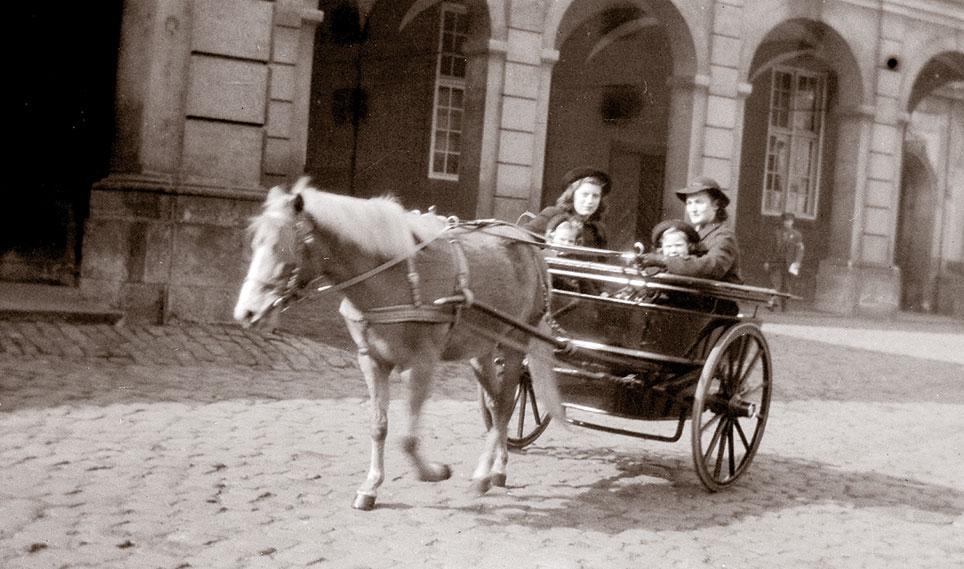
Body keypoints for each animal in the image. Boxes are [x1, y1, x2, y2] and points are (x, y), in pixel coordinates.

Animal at [235, 175, 564, 508]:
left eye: (283, 246)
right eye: (255, 243)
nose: (246, 312)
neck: (395, 276)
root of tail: (529, 242)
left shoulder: (420, 364)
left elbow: (406, 439)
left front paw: (434, 472)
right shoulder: (371, 360)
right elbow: (378, 426)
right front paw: (370, 486)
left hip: (515, 343)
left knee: (506, 404)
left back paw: (486, 473)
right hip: (481, 349)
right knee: (496, 405)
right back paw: (497, 467)